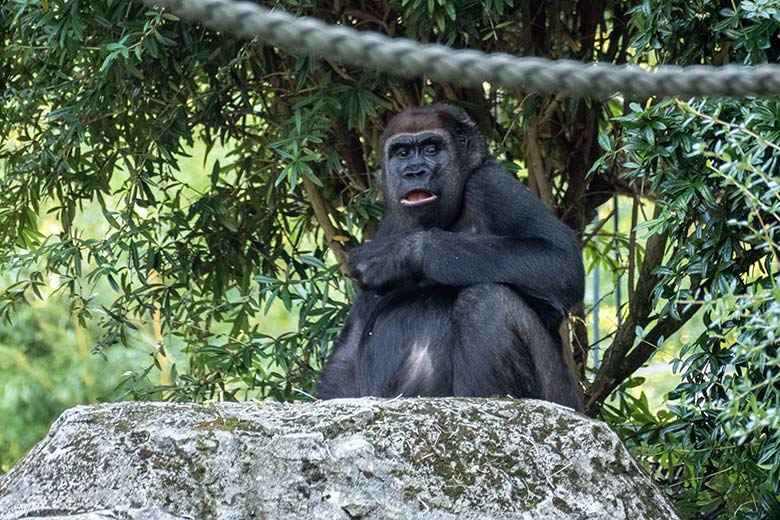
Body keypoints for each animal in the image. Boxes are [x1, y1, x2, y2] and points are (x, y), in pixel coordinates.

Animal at [318, 103, 584, 408]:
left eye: (432, 149)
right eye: (402, 153)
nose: (414, 172)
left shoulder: (489, 183)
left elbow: (559, 260)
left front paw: (402, 253)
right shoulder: (390, 221)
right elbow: (350, 350)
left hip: (563, 399)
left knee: (487, 300)